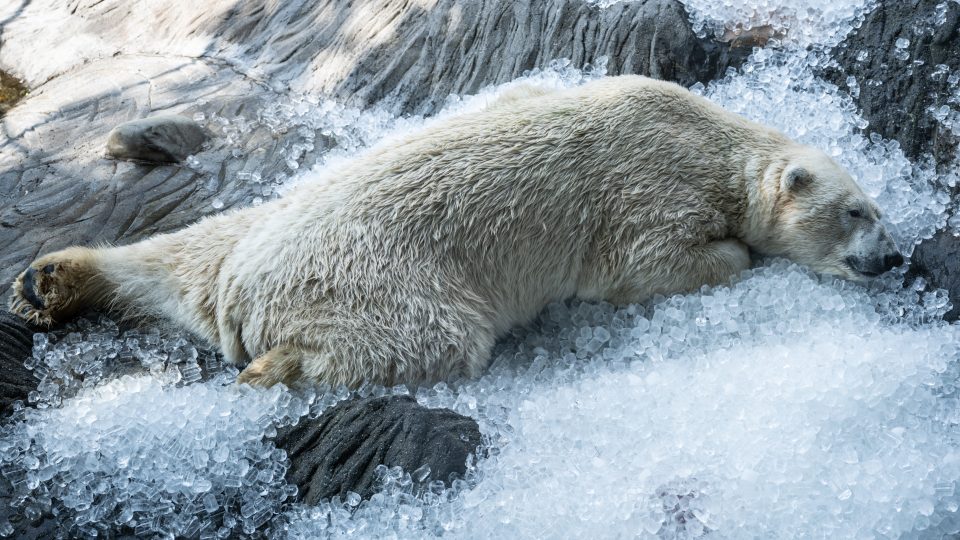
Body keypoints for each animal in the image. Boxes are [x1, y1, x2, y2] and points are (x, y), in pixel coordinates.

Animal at [9, 76, 900, 388]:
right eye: (858, 211)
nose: (892, 259)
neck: (708, 135)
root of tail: (245, 291)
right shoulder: (649, 187)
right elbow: (652, 263)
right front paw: (736, 252)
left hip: (244, 232)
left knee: (171, 258)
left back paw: (50, 279)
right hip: (380, 281)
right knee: (427, 339)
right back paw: (274, 368)